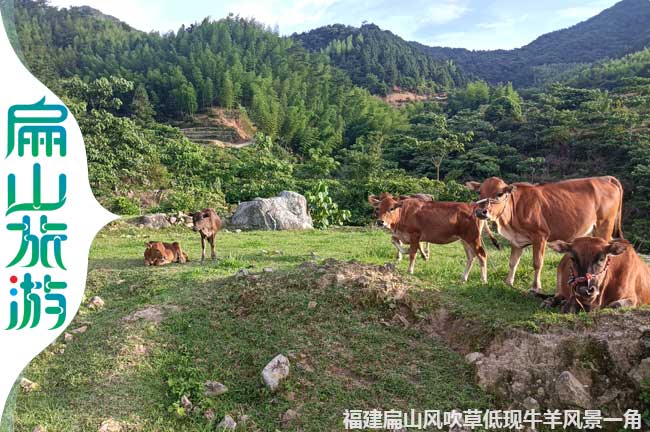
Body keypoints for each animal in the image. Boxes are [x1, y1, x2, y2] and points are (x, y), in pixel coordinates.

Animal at [466, 176, 624, 294]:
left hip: (604, 226)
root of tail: (605, 178)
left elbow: (537, 263)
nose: (480, 211)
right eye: (479, 192)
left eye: (498, 194)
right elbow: (513, 262)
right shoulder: (517, 240)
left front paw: (536, 287)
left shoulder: (540, 236)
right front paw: (508, 283)